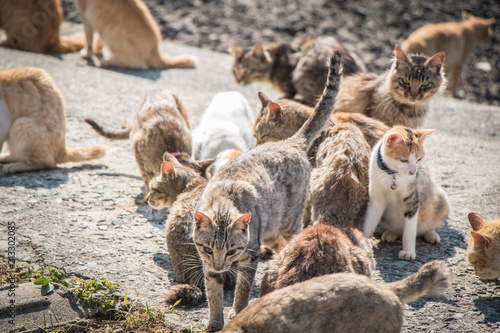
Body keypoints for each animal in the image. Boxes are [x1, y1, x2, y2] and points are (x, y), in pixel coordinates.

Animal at [193, 53, 342, 330]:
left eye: (231, 250)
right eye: (208, 250)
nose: (220, 265)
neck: (223, 201)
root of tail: (290, 142)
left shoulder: (249, 255)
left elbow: (242, 288)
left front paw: (238, 311)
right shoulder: (208, 265)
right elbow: (213, 293)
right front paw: (214, 321)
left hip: (289, 222)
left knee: (292, 243)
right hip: (272, 230)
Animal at [229, 35, 366, 105]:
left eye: (247, 71)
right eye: (234, 72)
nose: (238, 80)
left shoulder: (289, 83)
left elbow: (288, 94)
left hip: (303, 73)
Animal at [360, 126, 450, 260]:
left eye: (419, 159)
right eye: (403, 160)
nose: (413, 171)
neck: (392, 174)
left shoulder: (413, 197)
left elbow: (409, 230)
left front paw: (408, 251)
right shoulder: (376, 197)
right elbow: (370, 221)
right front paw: (364, 240)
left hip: (441, 201)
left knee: (428, 226)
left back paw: (431, 234)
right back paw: (391, 233)